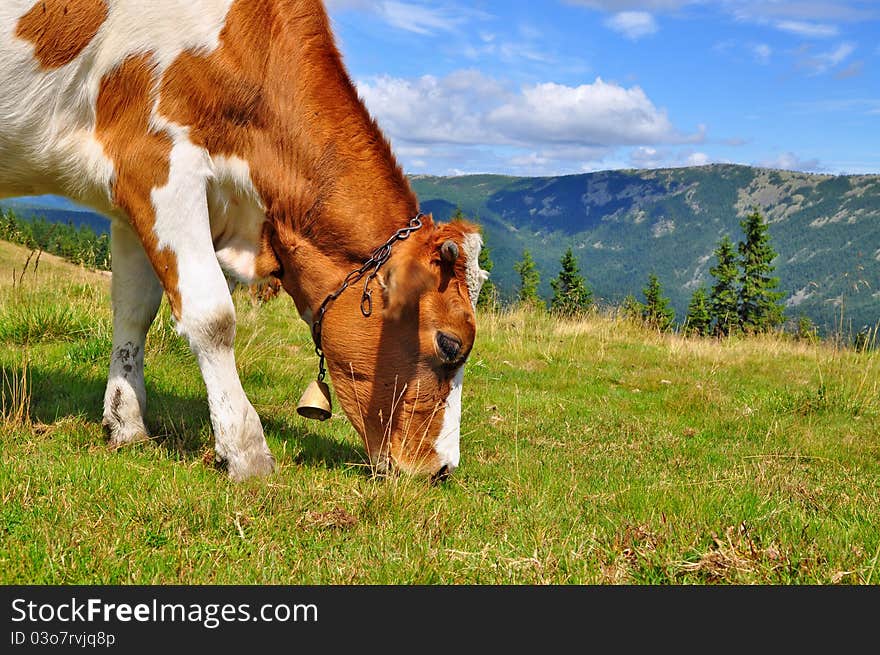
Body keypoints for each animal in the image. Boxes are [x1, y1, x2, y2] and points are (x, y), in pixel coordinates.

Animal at [0, 0, 488, 482]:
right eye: (449, 344)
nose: (443, 468)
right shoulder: (157, 159)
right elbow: (212, 316)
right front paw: (246, 451)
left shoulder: (128, 194)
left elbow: (134, 311)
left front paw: (127, 424)